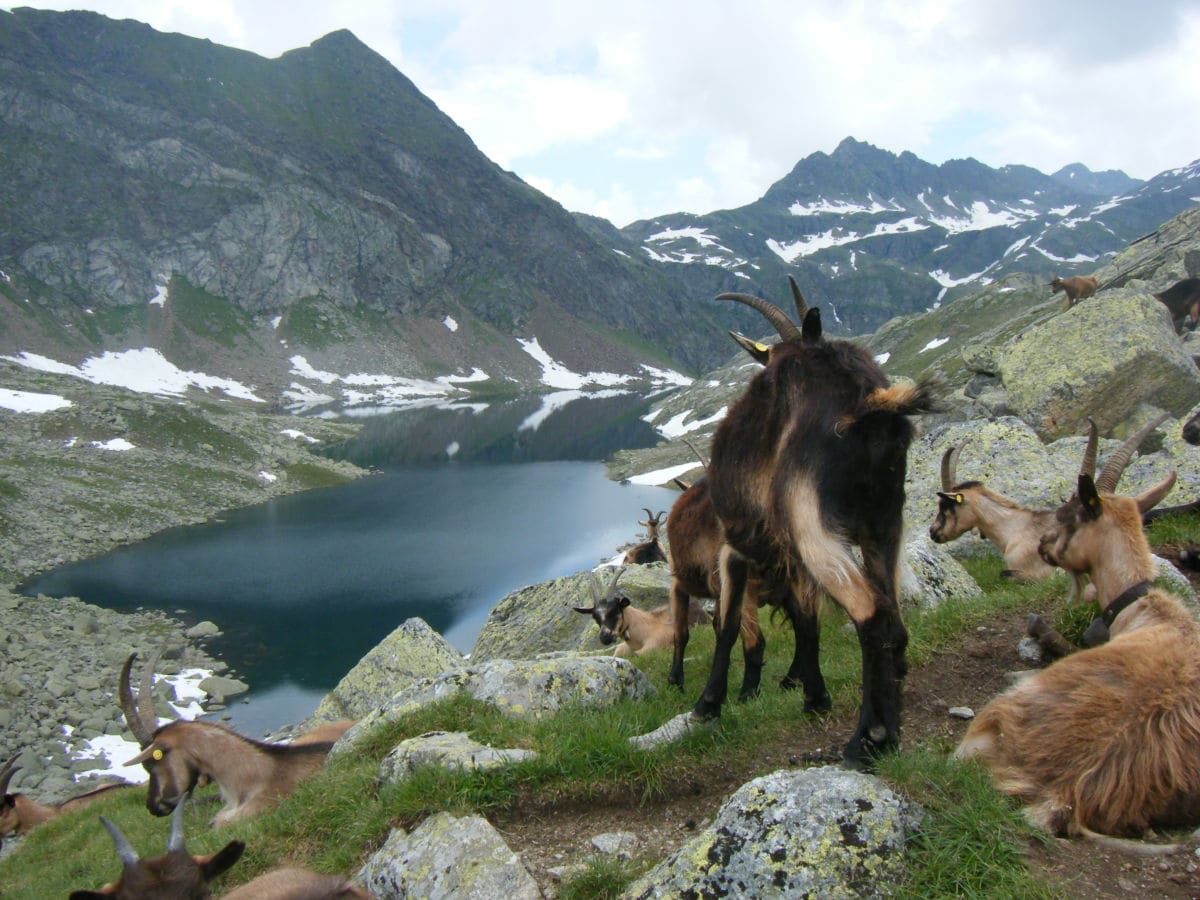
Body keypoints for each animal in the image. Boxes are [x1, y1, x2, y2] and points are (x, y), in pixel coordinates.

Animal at [573, 566, 705, 657]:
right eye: (595, 617)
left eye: (615, 610)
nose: (604, 637)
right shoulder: (620, 649)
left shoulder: (655, 645)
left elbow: (636, 655)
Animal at [691, 280, 931, 768]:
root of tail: (867, 403)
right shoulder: (791, 557)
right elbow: (806, 621)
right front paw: (814, 697)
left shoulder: (735, 549)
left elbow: (727, 625)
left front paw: (708, 704)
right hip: (884, 521)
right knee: (894, 619)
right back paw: (890, 730)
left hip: (813, 524)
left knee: (873, 615)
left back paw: (866, 740)